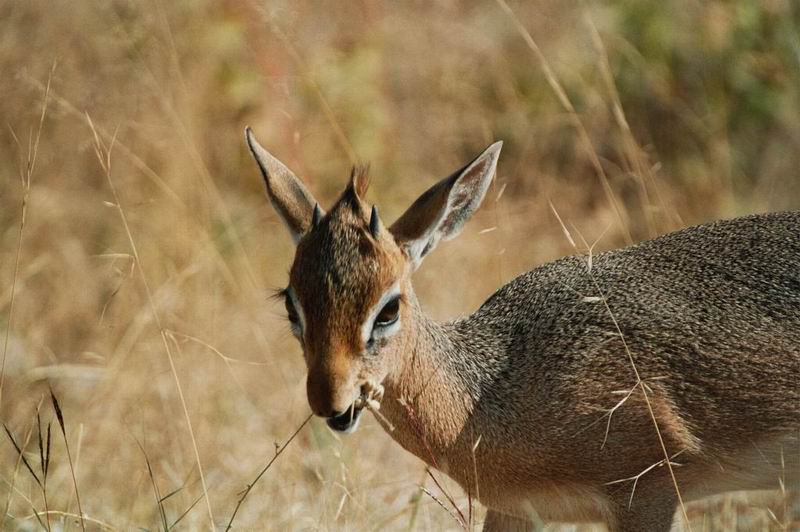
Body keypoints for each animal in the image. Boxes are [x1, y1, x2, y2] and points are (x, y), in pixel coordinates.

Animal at [245, 130, 800, 532]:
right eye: (291, 302)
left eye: (388, 308)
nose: (331, 402)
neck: (492, 393)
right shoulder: (514, 508)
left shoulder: (647, 493)